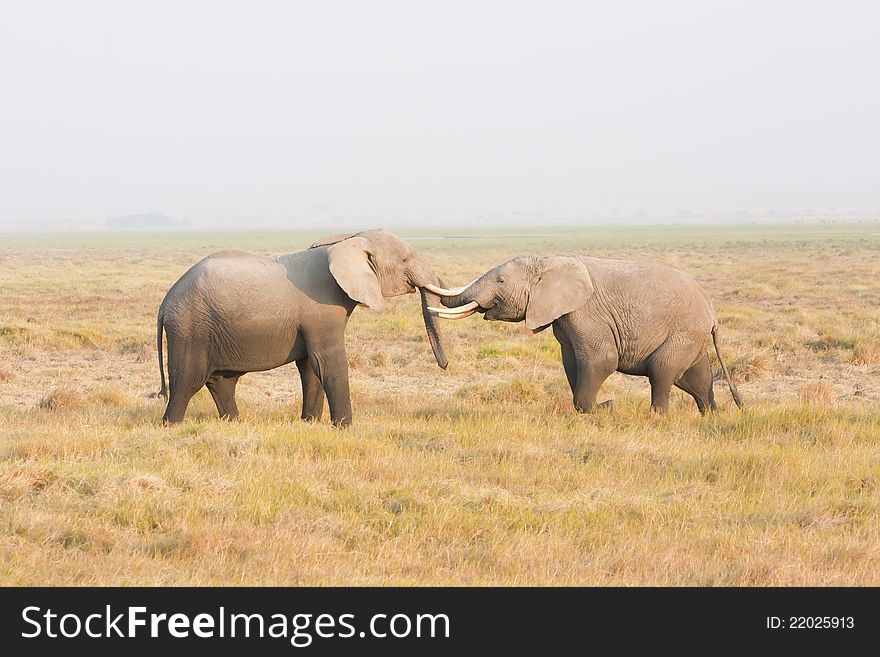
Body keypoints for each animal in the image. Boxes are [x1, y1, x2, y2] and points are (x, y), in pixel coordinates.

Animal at [154, 229, 450, 426]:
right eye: (405, 261)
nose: (444, 365)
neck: (350, 240)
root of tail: (165, 302)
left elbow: (311, 367)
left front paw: (310, 423)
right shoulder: (322, 310)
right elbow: (329, 363)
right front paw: (344, 427)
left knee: (221, 381)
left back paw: (234, 423)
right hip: (191, 328)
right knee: (187, 382)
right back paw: (172, 425)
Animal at [430, 254, 744, 412]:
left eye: (501, 281)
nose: (443, 364)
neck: (549, 262)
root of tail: (712, 313)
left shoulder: (587, 313)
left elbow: (601, 361)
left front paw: (603, 408)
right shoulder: (565, 319)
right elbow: (571, 363)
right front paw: (600, 408)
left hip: (684, 332)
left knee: (662, 371)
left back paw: (658, 416)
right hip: (691, 336)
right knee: (696, 380)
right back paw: (711, 417)